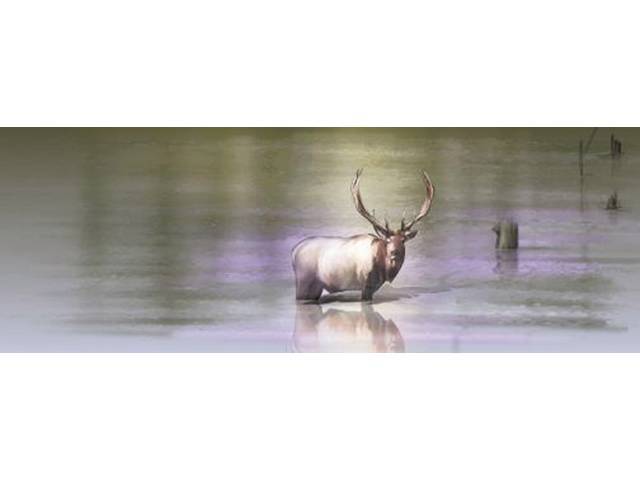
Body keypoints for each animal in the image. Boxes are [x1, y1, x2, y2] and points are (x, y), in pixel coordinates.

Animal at [291, 168, 435, 302]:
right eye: (387, 240)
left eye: (403, 240)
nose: (394, 252)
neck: (384, 270)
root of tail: (294, 251)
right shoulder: (366, 284)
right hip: (304, 282)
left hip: (316, 287)